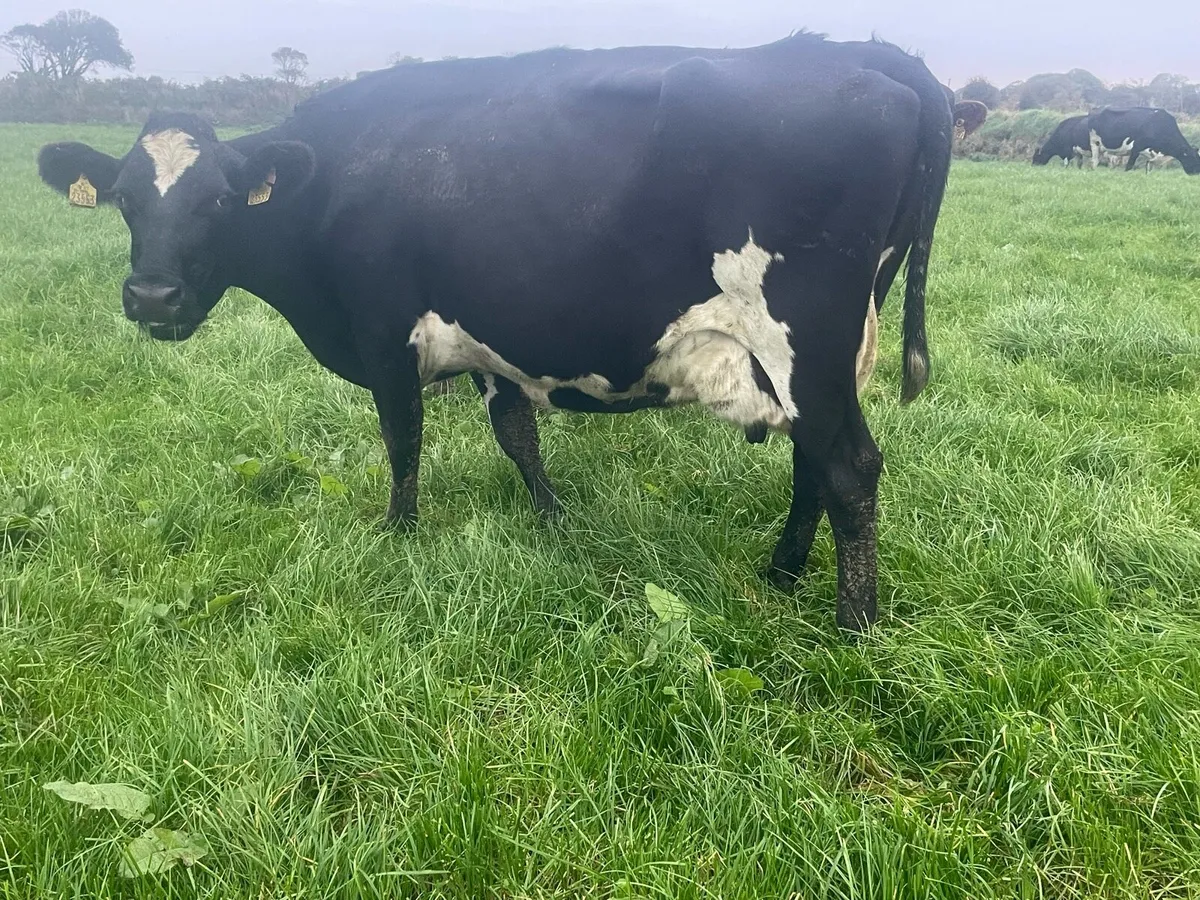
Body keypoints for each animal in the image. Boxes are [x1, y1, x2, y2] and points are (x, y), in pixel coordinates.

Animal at [36, 35, 953, 632]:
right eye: (125, 199)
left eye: (221, 202)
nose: (152, 296)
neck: (331, 177)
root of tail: (866, 52)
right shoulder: (492, 343)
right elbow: (517, 435)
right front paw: (555, 523)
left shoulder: (384, 336)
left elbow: (403, 442)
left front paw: (399, 536)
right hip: (818, 356)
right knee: (814, 462)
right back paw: (782, 572)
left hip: (804, 338)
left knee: (848, 468)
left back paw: (853, 627)